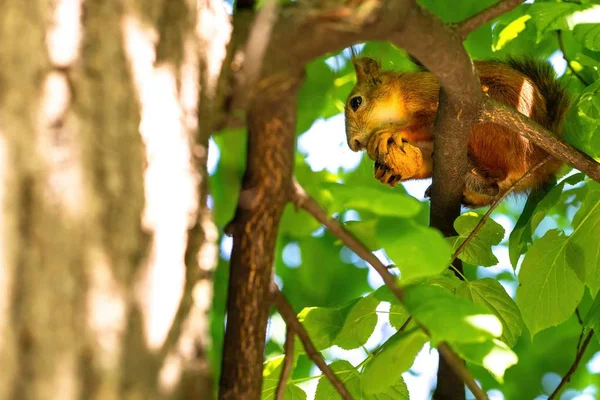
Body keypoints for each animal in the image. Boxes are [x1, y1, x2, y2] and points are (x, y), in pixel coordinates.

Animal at [344, 56, 568, 208]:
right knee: (494, 186)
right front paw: (390, 171)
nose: (354, 145)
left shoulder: (429, 94)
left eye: (356, 102)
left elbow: (425, 122)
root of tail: (539, 159)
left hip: (488, 122)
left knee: (498, 171)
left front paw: (392, 131)